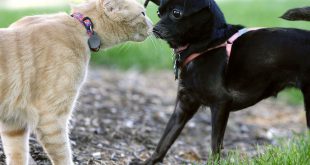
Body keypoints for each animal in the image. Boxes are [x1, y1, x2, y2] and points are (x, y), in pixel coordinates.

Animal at [0, 0, 151, 164]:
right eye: (143, 13)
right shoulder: (51, 117)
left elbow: (17, 155)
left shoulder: (13, 122)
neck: (83, 26)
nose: (153, 24)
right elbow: (63, 154)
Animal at [133, 0, 310, 164]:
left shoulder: (221, 103)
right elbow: (164, 141)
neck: (205, 46)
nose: (154, 29)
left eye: (176, 13)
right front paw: (149, 161)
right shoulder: (183, 107)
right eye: (158, 12)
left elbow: (215, 144)